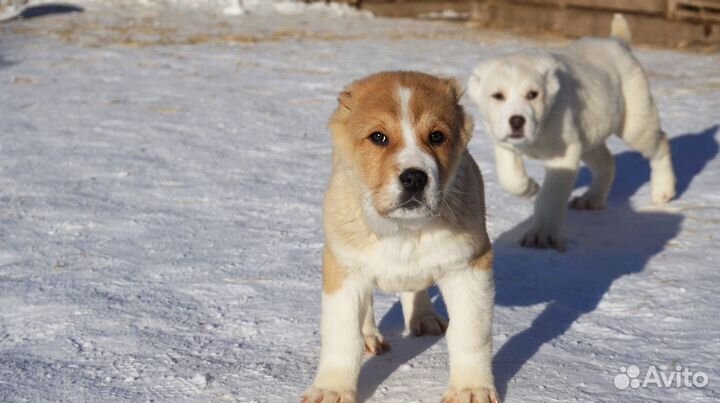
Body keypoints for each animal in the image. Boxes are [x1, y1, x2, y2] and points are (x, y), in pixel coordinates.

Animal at [300, 72, 498, 403]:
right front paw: (332, 390)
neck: (405, 230)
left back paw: (424, 318)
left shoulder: (469, 267)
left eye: (437, 137)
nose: (415, 177)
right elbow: (342, 337)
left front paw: (471, 389)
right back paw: (370, 334)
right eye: (378, 137)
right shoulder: (343, 269)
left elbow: (470, 334)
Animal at [466, 15, 676, 249]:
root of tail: (617, 42)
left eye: (533, 94)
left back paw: (663, 190)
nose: (517, 121)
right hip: (590, 136)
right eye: (497, 96)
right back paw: (592, 198)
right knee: (607, 162)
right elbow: (509, 177)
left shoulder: (564, 155)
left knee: (660, 143)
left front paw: (541, 234)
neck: (542, 126)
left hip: (635, 124)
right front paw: (529, 188)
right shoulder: (504, 143)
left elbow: (550, 195)